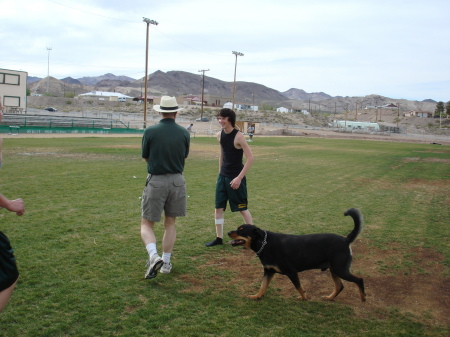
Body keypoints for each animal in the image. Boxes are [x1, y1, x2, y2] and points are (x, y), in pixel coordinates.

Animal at [229, 209, 366, 300]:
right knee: (339, 286)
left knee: (359, 280)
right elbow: (263, 286)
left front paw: (304, 298)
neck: (264, 243)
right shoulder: (268, 271)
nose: (228, 232)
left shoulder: (291, 272)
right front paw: (256, 296)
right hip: (334, 269)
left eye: (241, 230)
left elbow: (299, 287)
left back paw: (363, 297)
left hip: (340, 269)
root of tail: (346, 239)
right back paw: (329, 297)